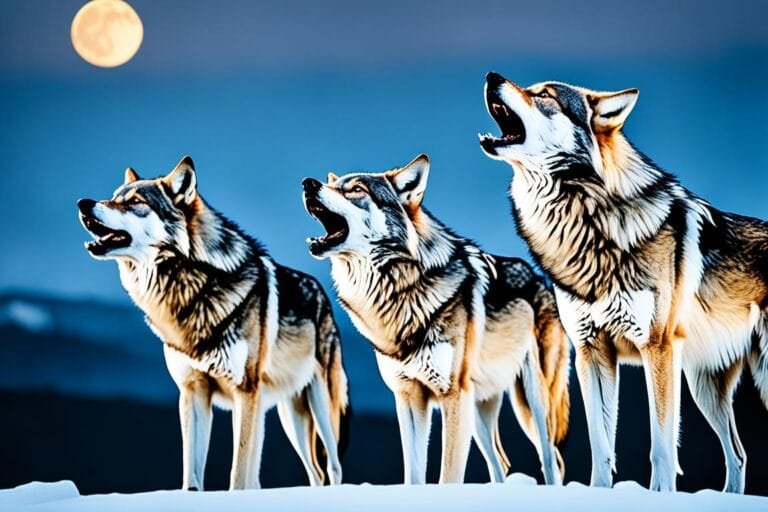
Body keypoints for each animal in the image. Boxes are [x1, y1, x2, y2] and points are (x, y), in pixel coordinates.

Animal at [77, 156, 349, 490]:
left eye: (135, 202)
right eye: (113, 197)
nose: (83, 203)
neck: (192, 288)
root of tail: (321, 290)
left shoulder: (244, 392)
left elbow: (237, 472)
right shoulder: (193, 392)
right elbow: (192, 474)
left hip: (319, 406)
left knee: (332, 469)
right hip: (287, 414)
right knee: (312, 473)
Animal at [301, 154, 570, 485]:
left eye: (356, 190)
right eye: (334, 184)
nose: (308, 183)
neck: (399, 292)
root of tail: (537, 276)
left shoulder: (452, 394)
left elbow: (448, 475)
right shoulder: (408, 397)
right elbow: (414, 474)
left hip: (532, 401)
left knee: (552, 460)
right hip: (479, 410)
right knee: (501, 463)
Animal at [479, 71, 768, 492]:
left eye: (544, 95)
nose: (492, 76)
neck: (588, 220)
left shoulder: (657, 348)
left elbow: (662, 447)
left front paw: (660, 495)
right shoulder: (592, 350)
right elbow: (601, 445)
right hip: (704, 387)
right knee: (740, 453)